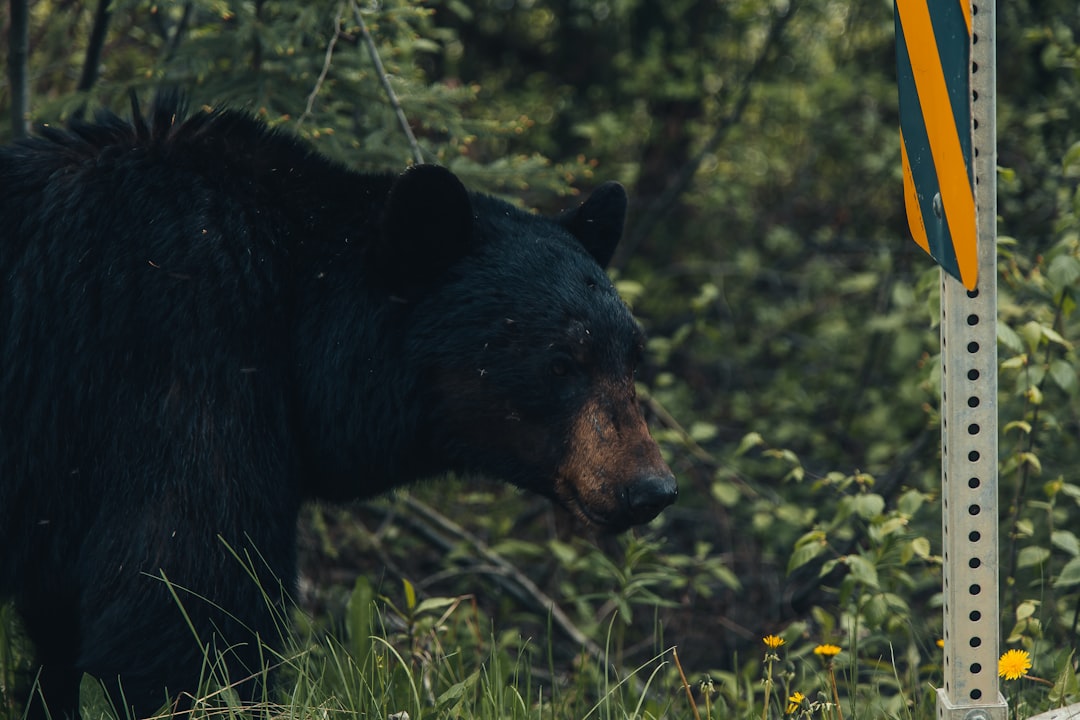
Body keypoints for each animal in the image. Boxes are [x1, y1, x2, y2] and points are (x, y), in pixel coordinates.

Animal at [0, 97, 673, 720]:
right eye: (561, 362)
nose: (651, 487)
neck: (295, 301)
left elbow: (65, 635)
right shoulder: (179, 361)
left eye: (632, 355)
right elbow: (188, 590)